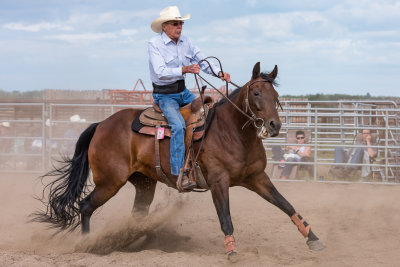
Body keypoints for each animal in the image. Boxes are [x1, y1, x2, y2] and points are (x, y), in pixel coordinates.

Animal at [32, 62, 324, 258]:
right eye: (256, 94)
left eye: (276, 97)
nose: (274, 125)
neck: (231, 132)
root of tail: (101, 124)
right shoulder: (218, 182)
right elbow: (226, 217)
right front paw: (231, 251)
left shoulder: (257, 178)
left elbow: (287, 205)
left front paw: (313, 238)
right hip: (109, 182)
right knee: (85, 206)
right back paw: (88, 244)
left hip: (144, 183)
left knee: (137, 215)